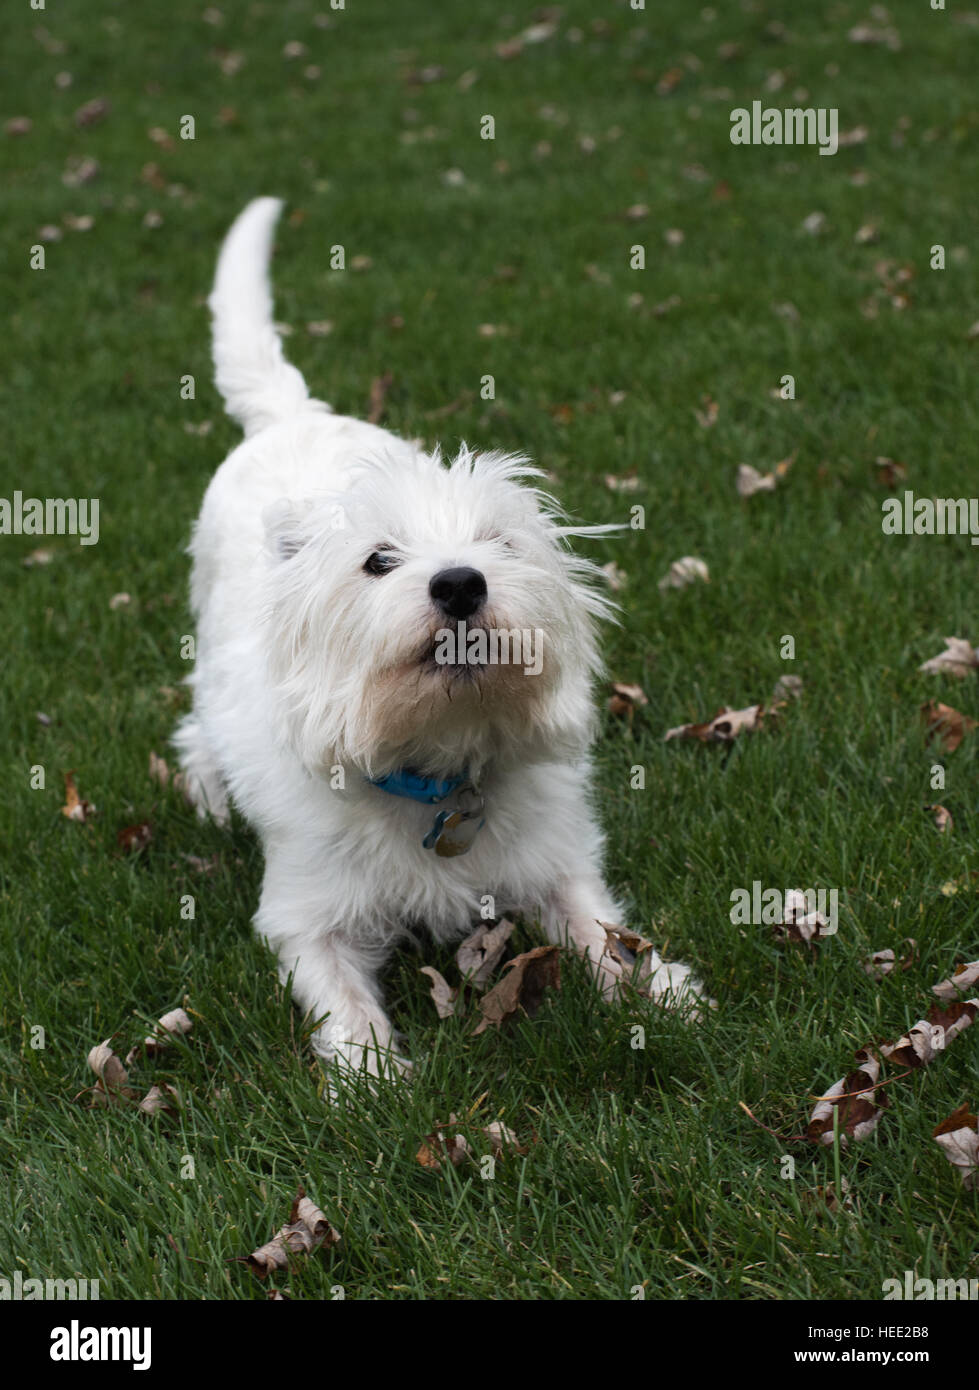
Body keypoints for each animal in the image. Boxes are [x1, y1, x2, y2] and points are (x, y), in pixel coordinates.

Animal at [175, 201, 703, 1078]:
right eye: (377, 560)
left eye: (501, 543)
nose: (460, 584)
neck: (436, 766)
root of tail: (291, 417)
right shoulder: (307, 914)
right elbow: (344, 1003)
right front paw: (374, 1083)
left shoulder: (556, 864)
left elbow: (603, 933)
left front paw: (664, 996)